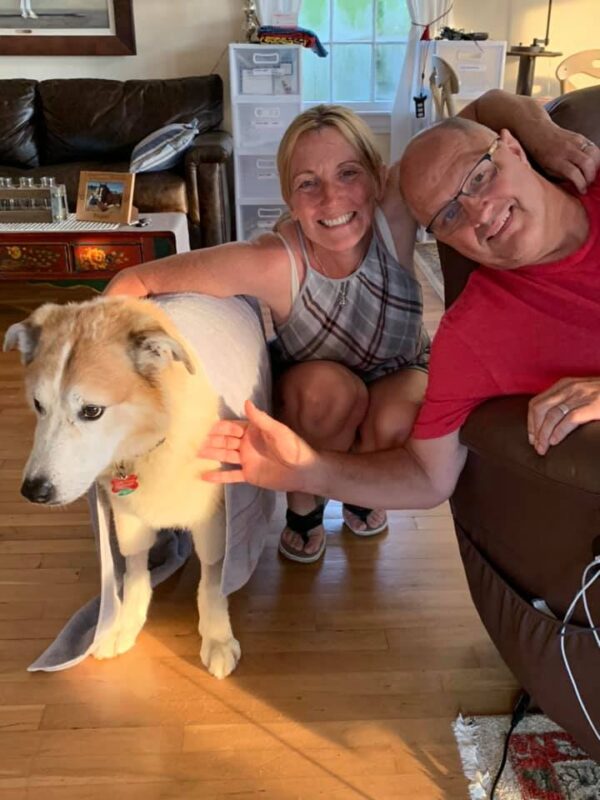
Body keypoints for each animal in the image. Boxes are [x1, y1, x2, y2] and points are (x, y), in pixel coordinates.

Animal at [4, 296, 244, 680]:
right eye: (38, 405)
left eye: (91, 411)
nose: (34, 491)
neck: (148, 448)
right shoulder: (126, 515)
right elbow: (134, 571)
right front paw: (123, 624)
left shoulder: (212, 519)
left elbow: (212, 580)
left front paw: (217, 637)